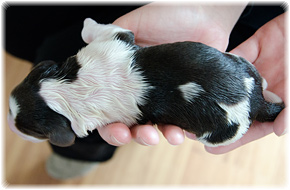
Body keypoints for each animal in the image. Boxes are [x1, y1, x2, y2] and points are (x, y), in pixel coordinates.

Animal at [7, 18, 284, 147]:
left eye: (33, 131)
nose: (9, 124)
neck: (67, 90)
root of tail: (254, 103)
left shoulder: (114, 39)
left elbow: (96, 30)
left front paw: (86, 22)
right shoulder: (114, 42)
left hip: (220, 133)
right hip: (241, 63)